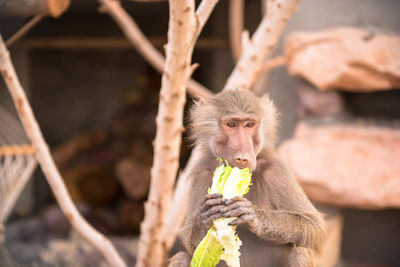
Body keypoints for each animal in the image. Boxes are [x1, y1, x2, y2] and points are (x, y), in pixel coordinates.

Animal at [169, 89, 324, 266]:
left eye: (249, 124)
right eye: (231, 124)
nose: (242, 158)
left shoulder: (276, 170)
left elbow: (314, 227)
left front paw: (254, 216)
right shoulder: (201, 173)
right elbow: (188, 243)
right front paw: (207, 216)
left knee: (300, 252)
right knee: (181, 257)